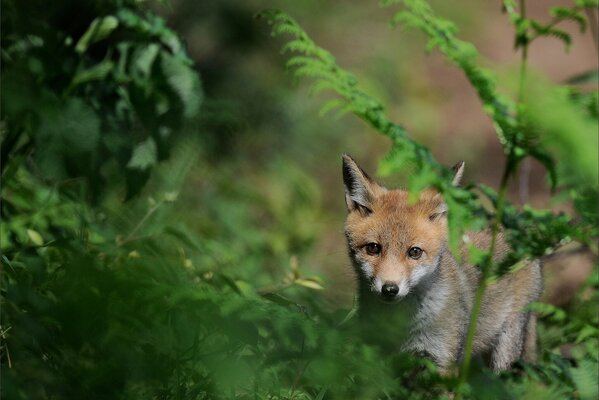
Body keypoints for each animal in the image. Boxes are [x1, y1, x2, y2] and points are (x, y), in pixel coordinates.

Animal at [342, 155, 544, 374]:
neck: (401, 325)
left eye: (414, 252)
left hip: (504, 351)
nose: (389, 289)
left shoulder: (441, 360)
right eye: (373, 248)